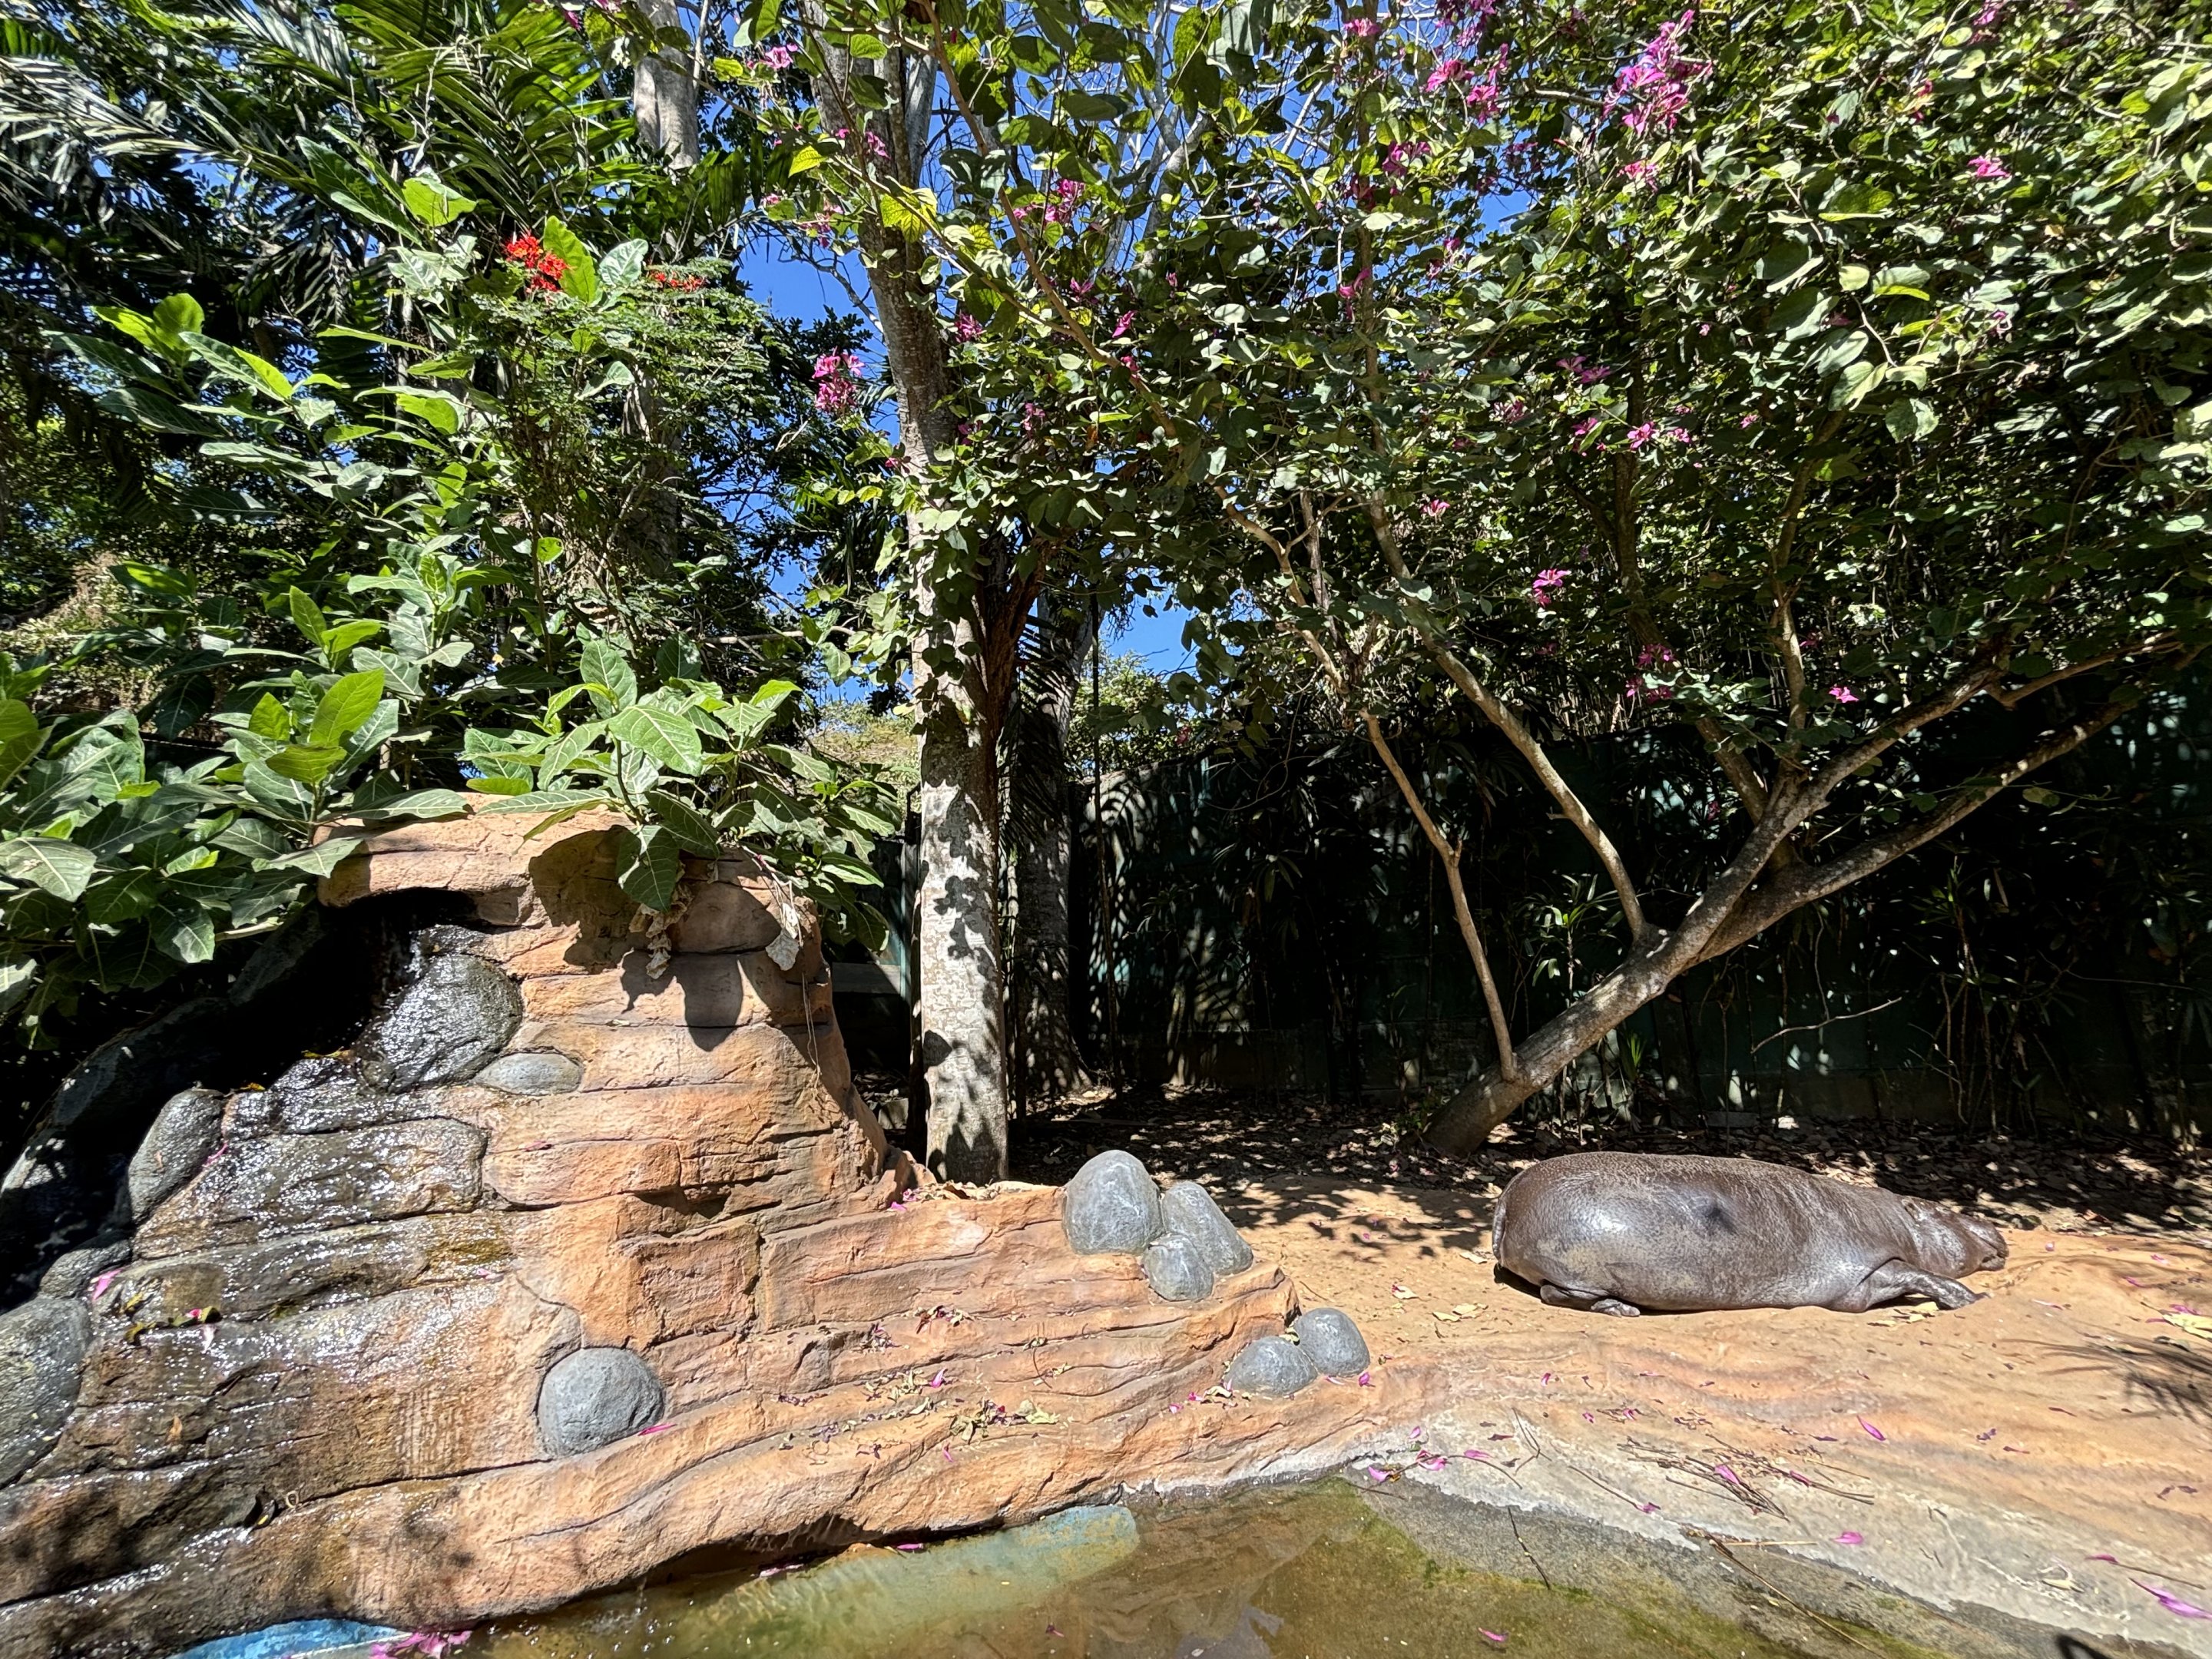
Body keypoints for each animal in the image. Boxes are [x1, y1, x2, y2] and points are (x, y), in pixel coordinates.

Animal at [1491, 1152, 2008, 1316]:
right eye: (1944, 1208)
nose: (1995, 1225)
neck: (1896, 1222)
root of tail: (1510, 1193)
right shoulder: (1866, 1272)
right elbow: (1922, 1274)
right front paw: (1974, 1301)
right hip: (1579, 1271)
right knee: (1558, 1293)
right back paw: (1625, 1309)